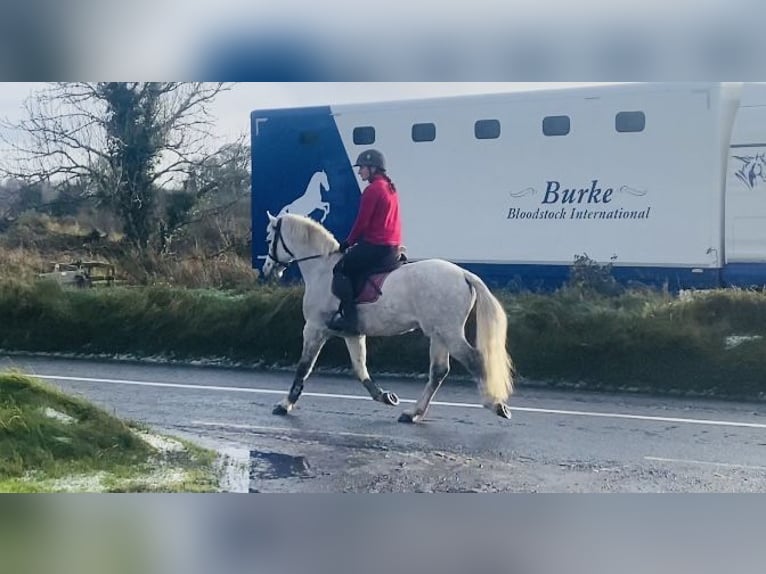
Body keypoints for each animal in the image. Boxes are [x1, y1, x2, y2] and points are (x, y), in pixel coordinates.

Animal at [260, 212, 516, 424]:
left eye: (269, 238)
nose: (267, 269)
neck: (321, 268)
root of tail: (463, 273)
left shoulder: (314, 329)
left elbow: (304, 367)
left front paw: (285, 404)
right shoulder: (352, 334)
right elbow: (360, 368)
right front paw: (384, 396)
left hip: (449, 332)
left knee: (474, 360)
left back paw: (495, 404)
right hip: (438, 334)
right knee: (439, 371)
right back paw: (413, 413)